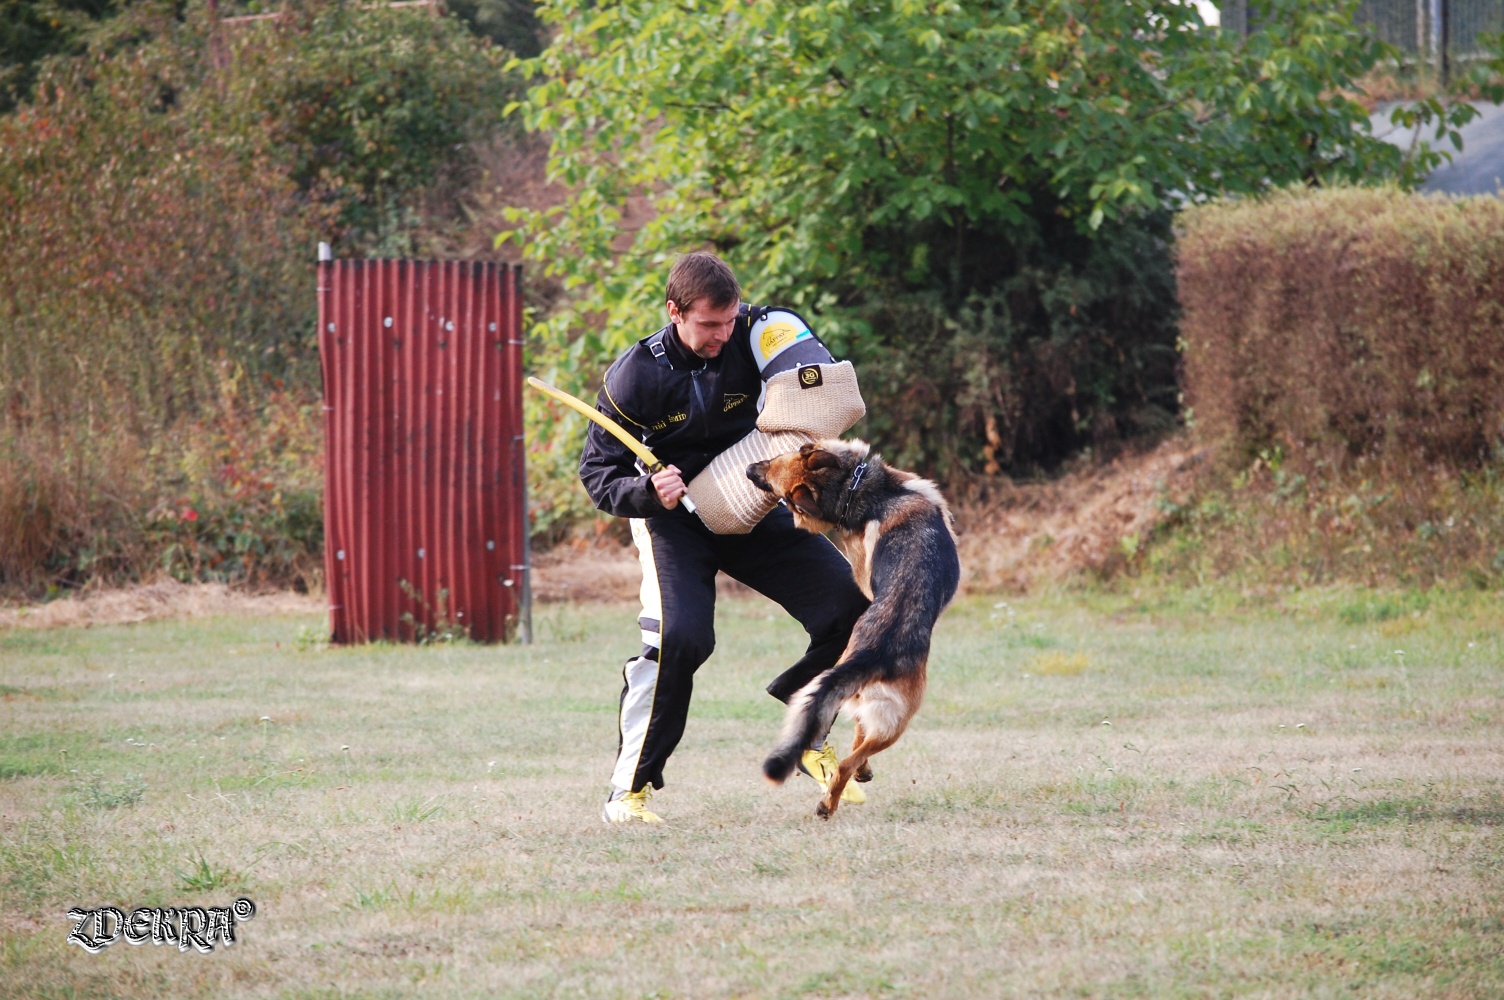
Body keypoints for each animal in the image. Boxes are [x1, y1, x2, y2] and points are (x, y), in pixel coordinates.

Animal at [742, 442, 962, 818]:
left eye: (772, 465)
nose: (747, 469)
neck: (855, 492)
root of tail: (872, 654)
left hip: (860, 700)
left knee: (858, 736)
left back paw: (843, 786)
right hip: (898, 721)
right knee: (850, 758)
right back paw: (836, 796)